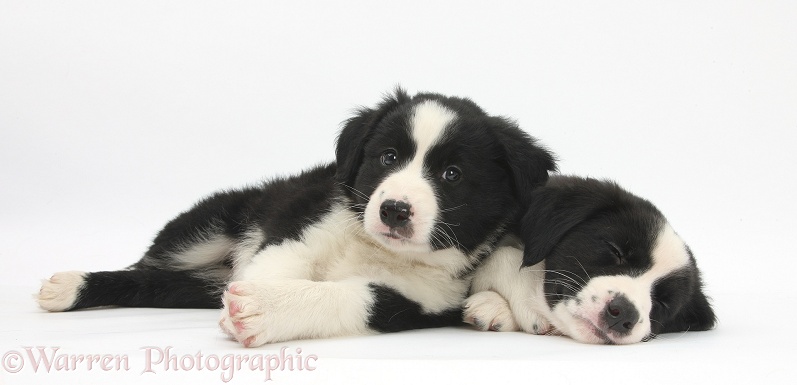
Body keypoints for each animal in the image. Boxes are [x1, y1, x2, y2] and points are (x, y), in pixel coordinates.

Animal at [38, 88, 560, 346]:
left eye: (452, 175)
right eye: (388, 157)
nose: (393, 209)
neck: (375, 249)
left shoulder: (418, 297)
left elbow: (350, 297)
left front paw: (262, 311)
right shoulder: (302, 226)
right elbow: (276, 264)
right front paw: (254, 303)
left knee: (164, 286)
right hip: (209, 228)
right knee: (146, 270)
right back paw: (69, 285)